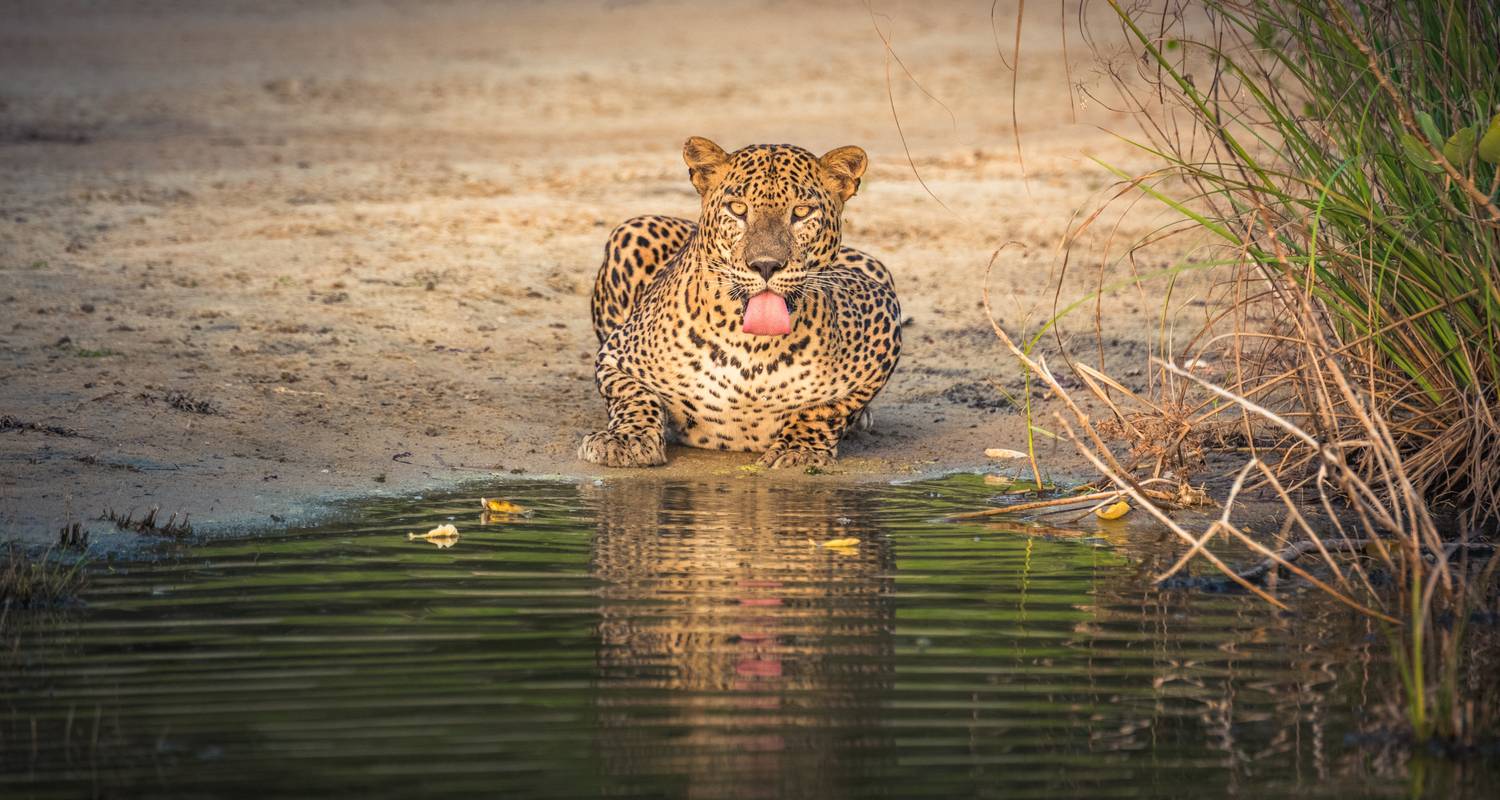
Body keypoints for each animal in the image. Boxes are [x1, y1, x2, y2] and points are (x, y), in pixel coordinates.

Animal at [579, 137, 894, 468]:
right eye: (738, 208)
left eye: (801, 212)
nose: (766, 265)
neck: (753, 349)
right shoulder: (616, 355)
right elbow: (634, 396)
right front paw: (626, 439)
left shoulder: (884, 317)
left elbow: (826, 408)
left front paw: (799, 450)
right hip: (633, 229)